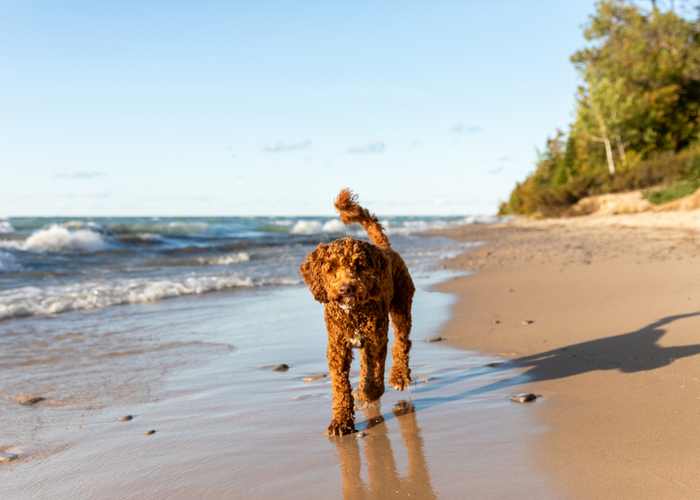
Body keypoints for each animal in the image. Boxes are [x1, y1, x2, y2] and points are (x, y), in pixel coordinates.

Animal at [298, 189, 412, 436]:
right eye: (331, 268)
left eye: (359, 265)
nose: (346, 289)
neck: (352, 313)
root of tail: (384, 247)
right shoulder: (337, 347)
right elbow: (340, 387)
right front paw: (341, 421)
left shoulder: (377, 340)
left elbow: (375, 377)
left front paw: (368, 393)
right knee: (365, 362)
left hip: (401, 307)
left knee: (402, 343)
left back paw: (399, 376)